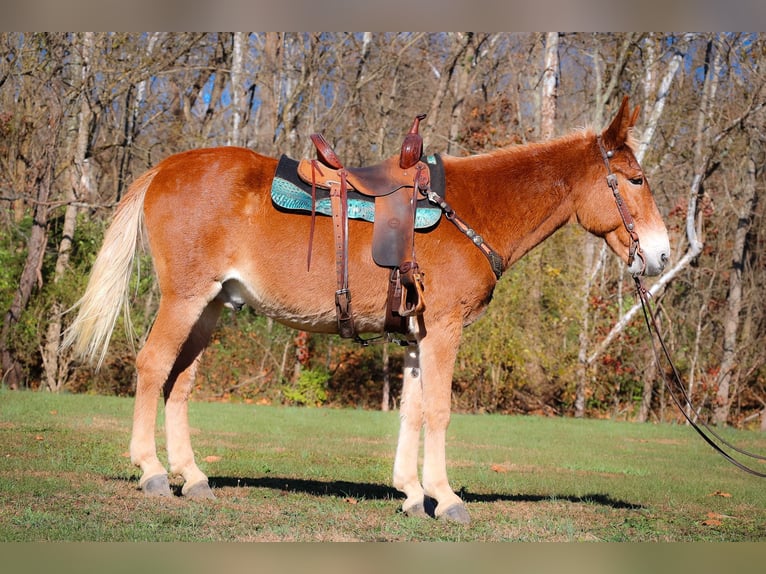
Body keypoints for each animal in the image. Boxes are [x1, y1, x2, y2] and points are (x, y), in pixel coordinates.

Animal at [64, 97, 672, 524]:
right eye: (637, 179)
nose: (663, 254)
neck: (471, 211)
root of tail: (165, 168)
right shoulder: (443, 330)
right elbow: (438, 411)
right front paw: (445, 496)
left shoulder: (416, 337)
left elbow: (412, 411)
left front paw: (411, 493)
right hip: (185, 299)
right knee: (151, 367)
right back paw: (150, 471)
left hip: (211, 306)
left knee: (180, 383)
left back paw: (191, 476)